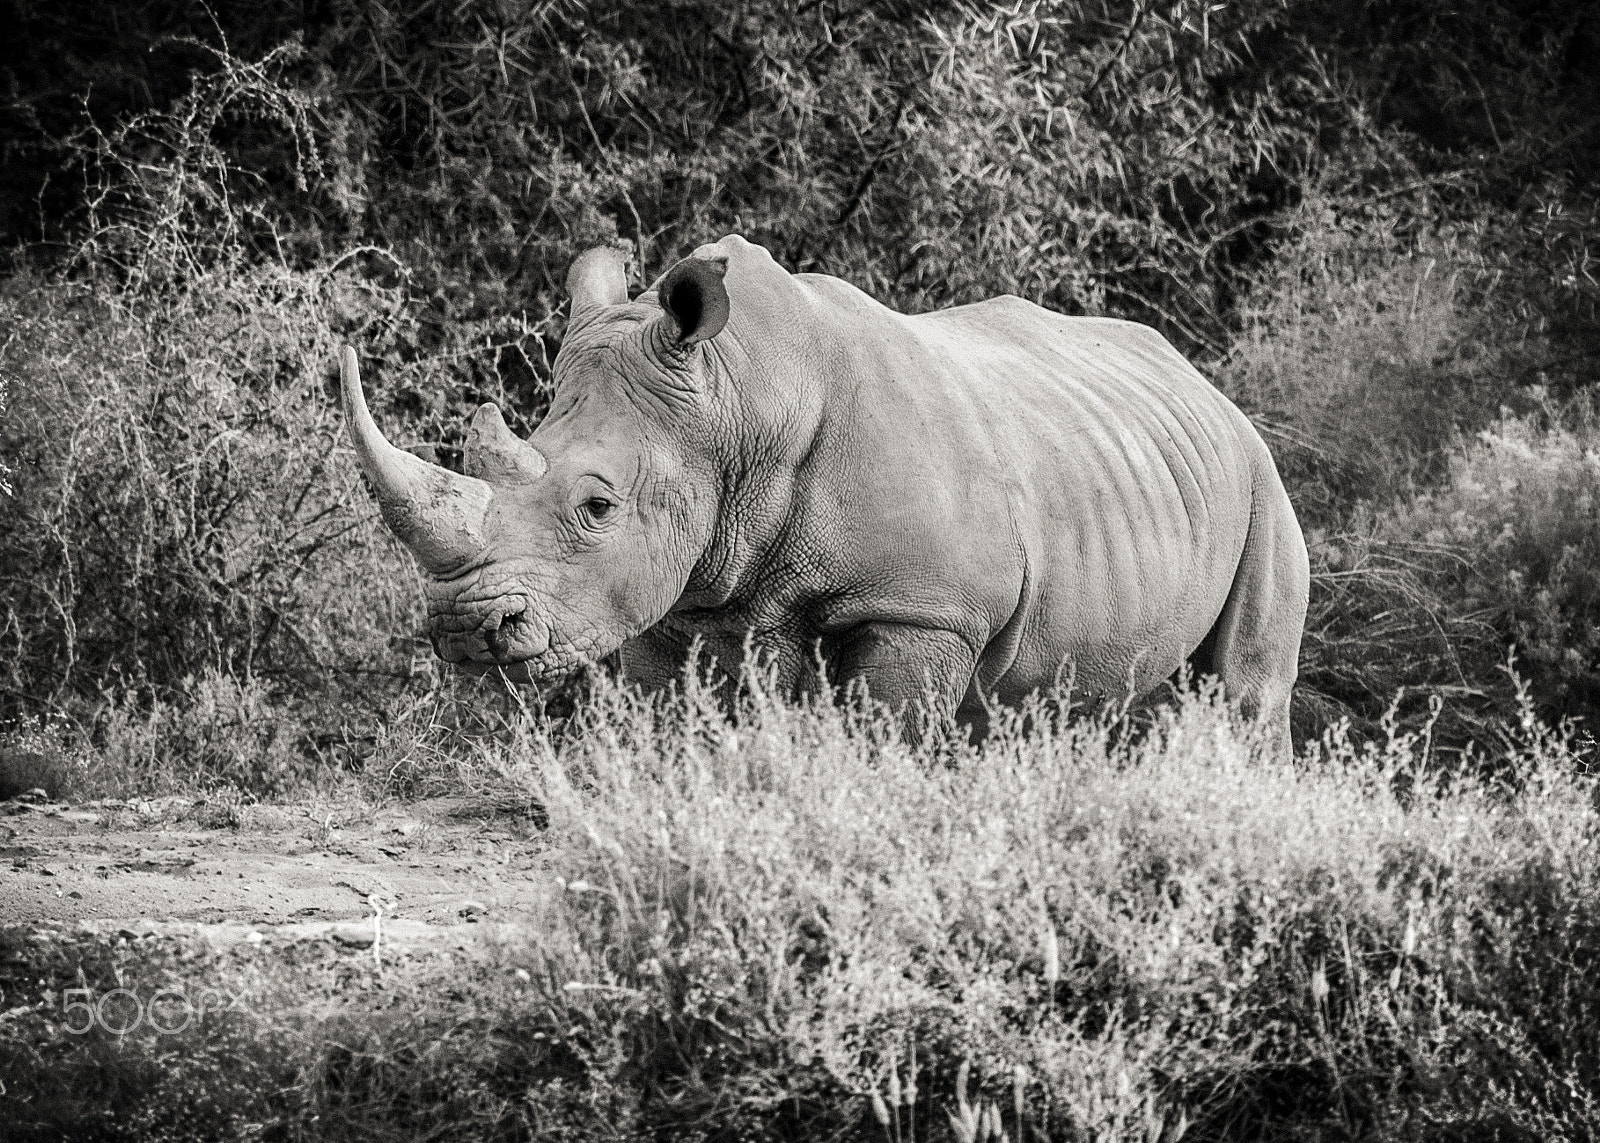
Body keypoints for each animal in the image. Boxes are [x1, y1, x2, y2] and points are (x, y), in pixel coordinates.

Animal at [341, 235, 1309, 750]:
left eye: (596, 506)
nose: (465, 627)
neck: (736, 400)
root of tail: (1209, 388)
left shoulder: (923, 606)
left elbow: (880, 740)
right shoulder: (676, 598)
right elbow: (675, 728)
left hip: (1265, 484)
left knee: (1243, 690)